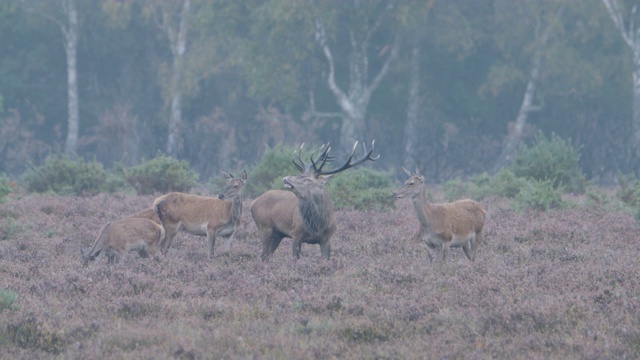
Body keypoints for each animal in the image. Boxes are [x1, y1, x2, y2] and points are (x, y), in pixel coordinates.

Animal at [251, 141, 380, 262]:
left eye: (308, 179)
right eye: (301, 174)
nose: (286, 178)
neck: (317, 226)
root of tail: (253, 203)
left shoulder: (327, 239)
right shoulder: (296, 234)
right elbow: (295, 259)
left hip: (277, 234)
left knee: (267, 255)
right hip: (264, 227)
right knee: (262, 255)